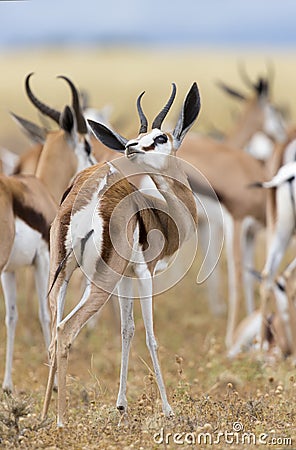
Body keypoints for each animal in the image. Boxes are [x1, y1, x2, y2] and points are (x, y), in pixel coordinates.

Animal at [0, 73, 95, 390]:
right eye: (87, 146)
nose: (94, 166)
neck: (39, 188)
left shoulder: (11, 270)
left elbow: (12, 317)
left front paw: (7, 385)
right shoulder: (42, 260)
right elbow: (46, 313)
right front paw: (52, 384)